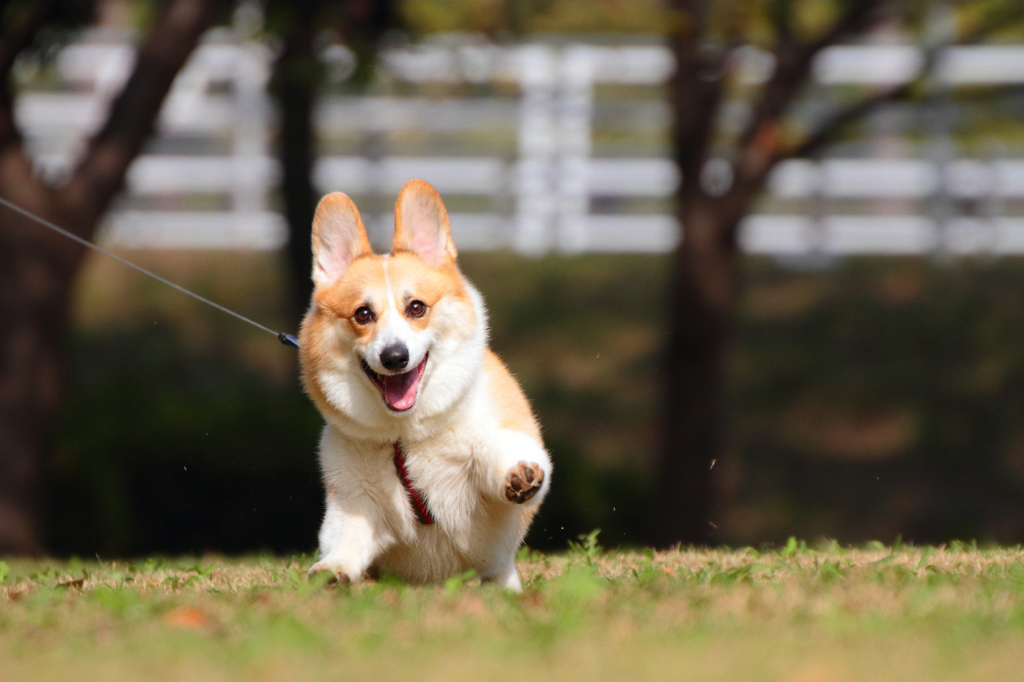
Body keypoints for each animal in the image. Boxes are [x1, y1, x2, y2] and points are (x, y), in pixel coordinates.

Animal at [299, 178, 552, 585]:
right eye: (363, 314)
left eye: (416, 307)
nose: (394, 357)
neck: (407, 434)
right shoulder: (357, 500)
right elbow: (349, 536)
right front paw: (334, 569)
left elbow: (492, 453)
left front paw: (518, 474)